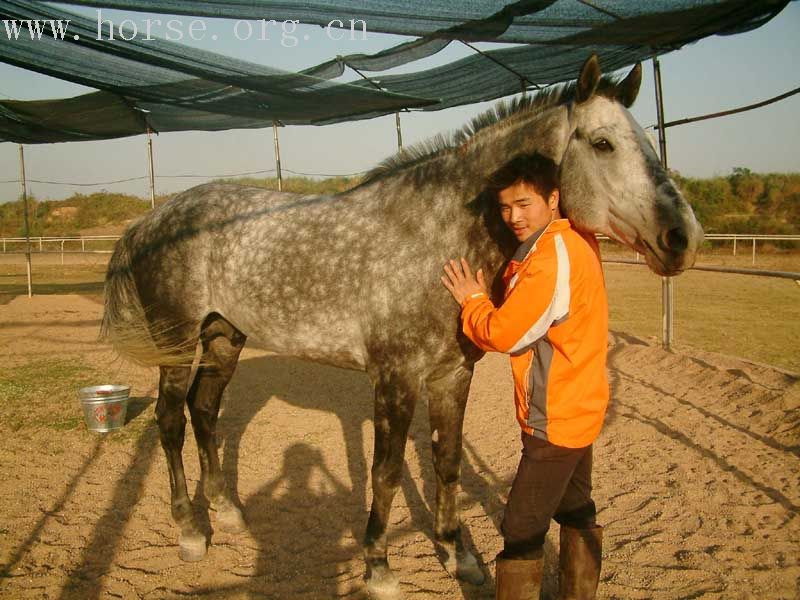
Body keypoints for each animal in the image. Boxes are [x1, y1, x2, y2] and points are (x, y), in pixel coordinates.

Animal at [103, 55, 704, 596]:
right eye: (602, 144)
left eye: (648, 142)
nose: (683, 237)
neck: (433, 235)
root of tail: (150, 220)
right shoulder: (395, 378)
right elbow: (386, 472)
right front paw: (379, 569)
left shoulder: (451, 375)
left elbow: (447, 462)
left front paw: (460, 558)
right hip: (177, 341)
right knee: (170, 421)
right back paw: (190, 531)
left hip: (223, 336)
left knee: (204, 411)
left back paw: (227, 514)